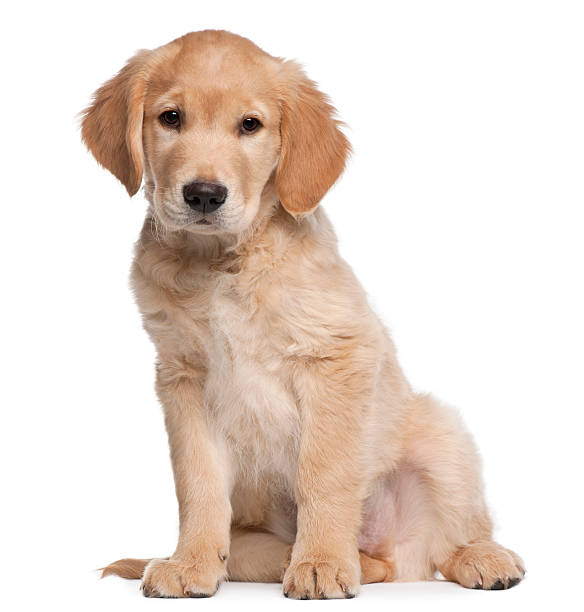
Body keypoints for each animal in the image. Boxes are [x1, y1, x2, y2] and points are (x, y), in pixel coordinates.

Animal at [81, 29, 524, 596]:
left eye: (251, 125)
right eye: (170, 118)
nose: (203, 195)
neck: (222, 265)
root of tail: (397, 552)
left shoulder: (335, 357)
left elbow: (325, 474)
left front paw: (322, 563)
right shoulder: (183, 378)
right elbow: (197, 482)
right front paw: (190, 564)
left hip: (440, 435)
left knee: (450, 539)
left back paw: (478, 558)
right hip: (251, 541)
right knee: (359, 563)